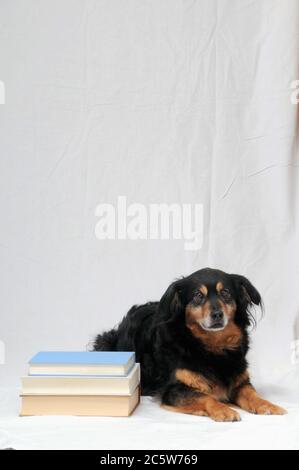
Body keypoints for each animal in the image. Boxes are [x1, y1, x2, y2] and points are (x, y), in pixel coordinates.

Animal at [95, 268, 288, 422]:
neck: (212, 347)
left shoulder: (240, 381)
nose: (217, 314)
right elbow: (204, 397)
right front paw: (223, 410)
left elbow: (252, 393)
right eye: (198, 295)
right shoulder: (173, 390)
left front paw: (267, 405)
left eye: (225, 293)